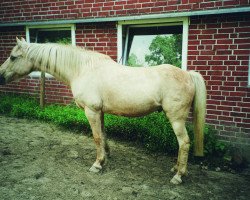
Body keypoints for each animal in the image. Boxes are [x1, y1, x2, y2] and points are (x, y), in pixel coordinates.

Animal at [0, 37, 207, 184]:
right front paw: (105, 157)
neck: (82, 69)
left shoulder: (91, 111)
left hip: (176, 118)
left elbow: (96, 137)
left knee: (184, 143)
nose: (0, 76)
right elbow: (103, 135)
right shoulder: (99, 112)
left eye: (13, 57)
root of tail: (188, 74)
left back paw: (178, 176)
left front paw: (97, 164)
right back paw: (175, 169)